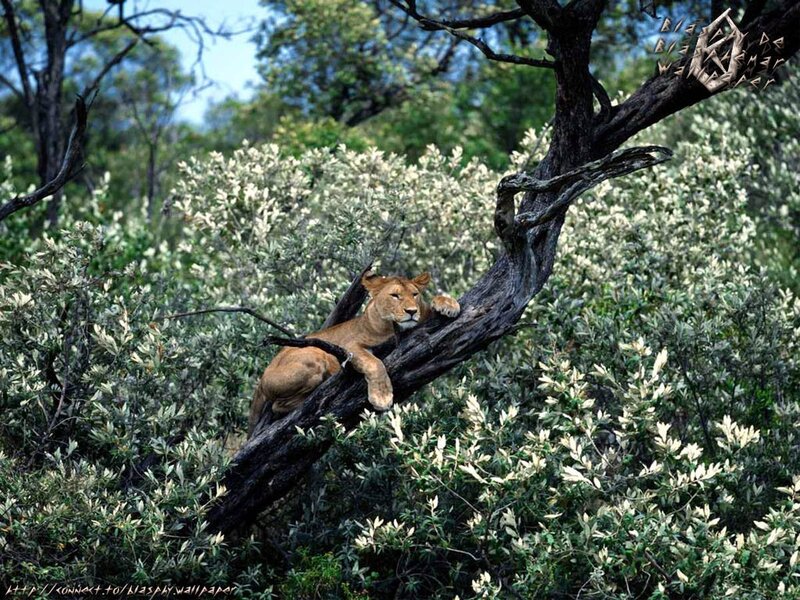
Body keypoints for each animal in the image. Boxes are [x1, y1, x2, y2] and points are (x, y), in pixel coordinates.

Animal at [248, 272, 460, 437]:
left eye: (415, 294)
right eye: (394, 295)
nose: (411, 311)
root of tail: (261, 379)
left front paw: (449, 304)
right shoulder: (351, 346)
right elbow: (375, 363)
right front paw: (381, 397)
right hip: (314, 356)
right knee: (279, 406)